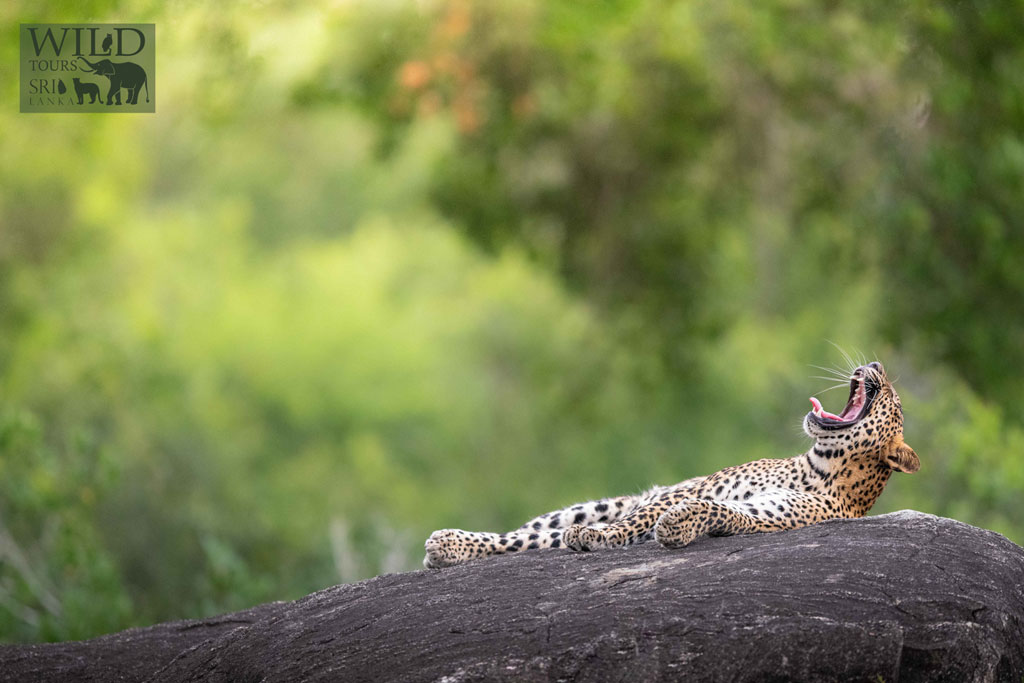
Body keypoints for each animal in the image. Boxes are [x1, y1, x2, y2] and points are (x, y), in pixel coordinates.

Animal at [424, 361, 919, 568]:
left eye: (893, 396)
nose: (875, 360)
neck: (819, 466)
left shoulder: (771, 515)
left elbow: (721, 512)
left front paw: (677, 527)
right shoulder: (685, 489)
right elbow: (641, 520)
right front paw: (606, 536)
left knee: (534, 541)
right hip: (592, 505)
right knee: (524, 535)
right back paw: (449, 543)